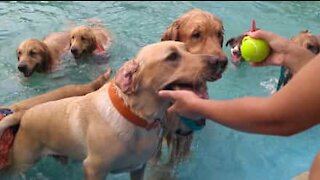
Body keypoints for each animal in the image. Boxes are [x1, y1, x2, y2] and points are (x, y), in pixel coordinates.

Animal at [0, 41, 225, 179]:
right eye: (172, 57)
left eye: (187, 49)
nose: (219, 62)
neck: (138, 118)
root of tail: (22, 115)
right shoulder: (94, 169)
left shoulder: (139, 167)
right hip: (22, 163)